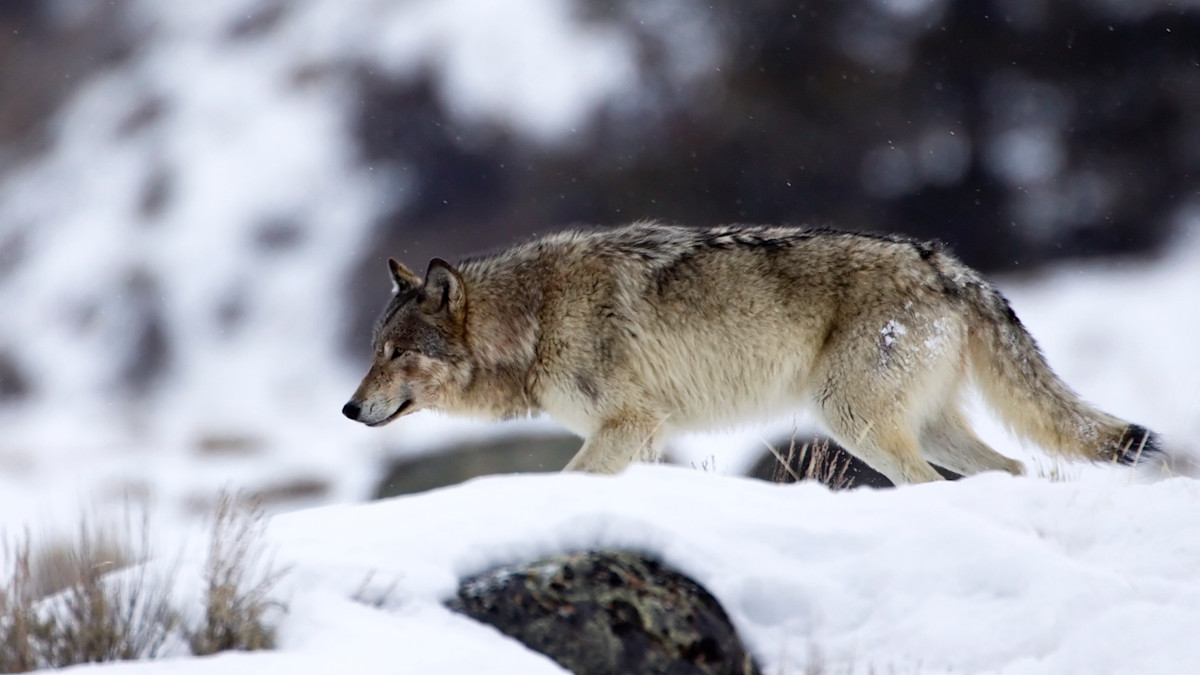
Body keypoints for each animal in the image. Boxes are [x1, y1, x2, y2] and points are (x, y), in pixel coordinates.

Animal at [342, 222, 1161, 484]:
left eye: (395, 352)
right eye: (373, 350)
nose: (349, 408)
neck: (536, 318)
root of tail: (948, 265)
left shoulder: (629, 426)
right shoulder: (646, 438)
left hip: (853, 420)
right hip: (922, 426)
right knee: (1016, 469)